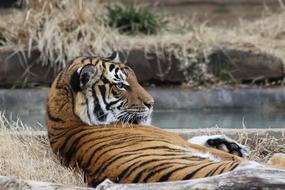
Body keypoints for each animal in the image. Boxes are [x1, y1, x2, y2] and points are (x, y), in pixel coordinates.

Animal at [46, 51, 284, 187]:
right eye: (121, 85)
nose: (152, 103)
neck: (63, 117)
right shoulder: (175, 139)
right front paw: (228, 146)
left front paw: (226, 143)